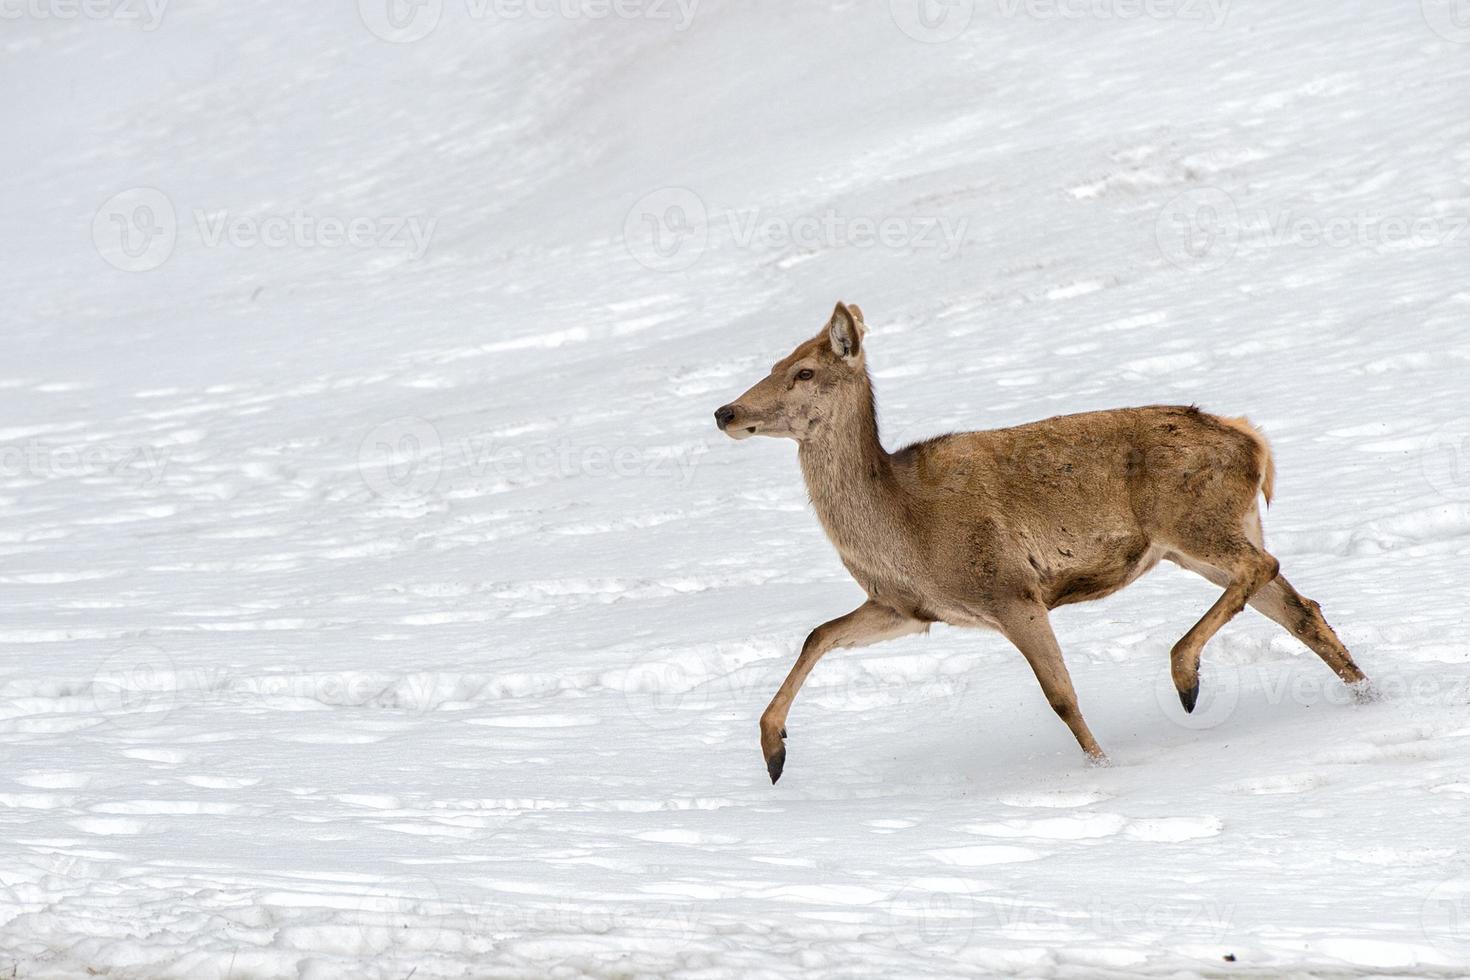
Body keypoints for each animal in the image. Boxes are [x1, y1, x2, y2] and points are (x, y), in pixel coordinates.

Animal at [711, 302, 1364, 787]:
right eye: (775, 361)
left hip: (1195, 523)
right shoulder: (909, 608)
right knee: (1298, 606)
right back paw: (1365, 693)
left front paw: (1103, 767)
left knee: (1264, 567)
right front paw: (773, 751)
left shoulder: (1010, 589)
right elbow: (817, 634)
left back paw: (1186, 676)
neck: (903, 526)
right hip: (1210, 535)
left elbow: (1061, 697)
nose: (726, 412)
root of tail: (1252, 441)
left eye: (804, 372)